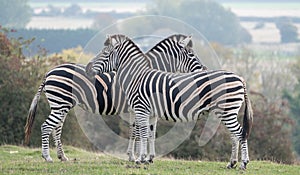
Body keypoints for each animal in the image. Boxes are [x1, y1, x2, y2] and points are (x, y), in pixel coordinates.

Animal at [24, 33, 206, 163]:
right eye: (191, 55)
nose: (204, 70)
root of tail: (49, 72)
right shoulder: (139, 107)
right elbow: (139, 132)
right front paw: (137, 157)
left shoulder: (141, 108)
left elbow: (141, 131)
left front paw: (137, 156)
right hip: (60, 104)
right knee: (47, 126)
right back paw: (47, 157)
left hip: (61, 105)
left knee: (56, 128)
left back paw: (62, 156)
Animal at [86, 33, 253, 170]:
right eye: (191, 54)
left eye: (105, 53)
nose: (88, 69)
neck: (137, 76)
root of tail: (240, 78)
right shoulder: (149, 112)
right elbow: (149, 133)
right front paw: (147, 158)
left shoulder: (141, 109)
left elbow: (142, 133)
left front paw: (140, 159)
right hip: (227, 111)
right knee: (234, 134)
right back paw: (231, 163)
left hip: (227, 110)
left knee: (240, 133)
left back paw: (243, 163)